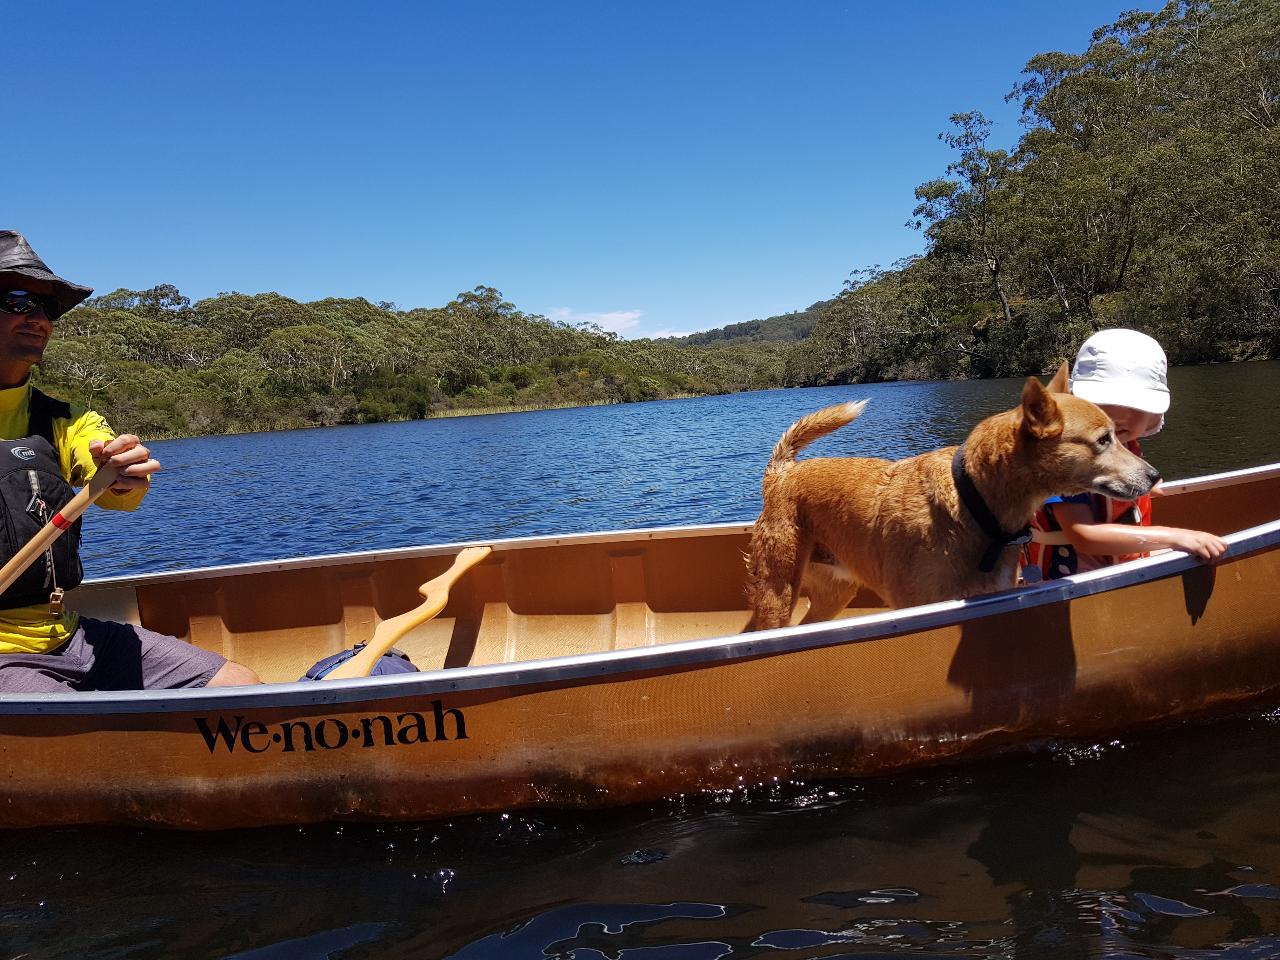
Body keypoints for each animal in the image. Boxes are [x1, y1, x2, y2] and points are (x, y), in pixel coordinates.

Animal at [742, 368, 1162, 632]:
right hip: (779, 590)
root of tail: (781, 474)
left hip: (832, 592)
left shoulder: (993, 593)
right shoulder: (916, 605)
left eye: (1116, 434)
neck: (974, 503)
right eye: (1103, 440)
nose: (1155, 476)